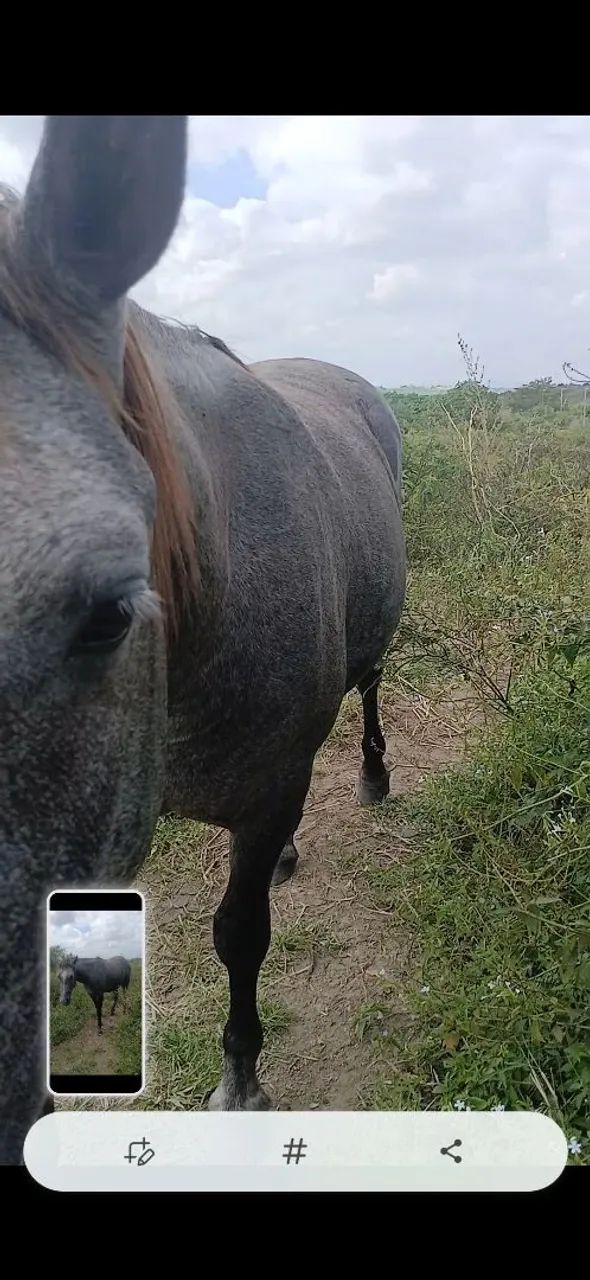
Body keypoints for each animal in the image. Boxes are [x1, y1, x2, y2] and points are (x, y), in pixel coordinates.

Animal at [0, 116, 406, 1164]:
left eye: (108, 611)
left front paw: (241, 1081)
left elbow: (239, 934)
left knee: (370, 690)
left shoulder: (263, 796)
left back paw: (374, 775)